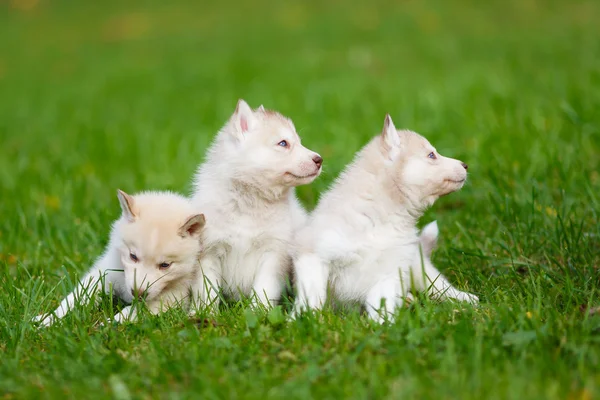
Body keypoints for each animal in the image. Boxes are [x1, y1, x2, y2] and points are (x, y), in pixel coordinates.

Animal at [33, 190, 206, 324]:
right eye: (133, 256)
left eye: (165, 265)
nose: (138, 293)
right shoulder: (103, 274)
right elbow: (74, 299)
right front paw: (48, 319)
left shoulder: (174, 297)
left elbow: (134, 311)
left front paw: (110, 323)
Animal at [191, 99, 324, 310]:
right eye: (283, 143)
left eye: (299, 141)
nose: (319, 159)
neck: (248, 202)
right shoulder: (209, 252)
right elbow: (206, 290)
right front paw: (202, 313)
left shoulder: (274, 253)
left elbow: (264, 288)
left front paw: (258, 311)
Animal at [292, 114, 476, 324]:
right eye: (432, 155)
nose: (465, 165)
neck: (377, 219)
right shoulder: (314, 256)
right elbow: (313, 296)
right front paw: (304, 319)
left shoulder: (388, 273)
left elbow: (382, 307)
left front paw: (383, 327)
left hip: (417, 267)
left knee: (437, 285)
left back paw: (464, 298)